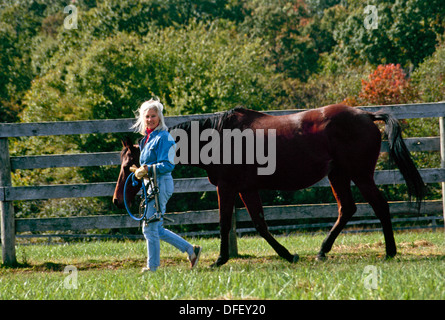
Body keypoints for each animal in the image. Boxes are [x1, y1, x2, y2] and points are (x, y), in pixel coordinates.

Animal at [112, 104, 424, 266]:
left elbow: (225, 222)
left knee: (379, 205)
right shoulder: (247, 189)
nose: (117, 200)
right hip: (338, 175)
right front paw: (288, 254)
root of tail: (366, 115)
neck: (218, 138)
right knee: (347, 209)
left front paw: (220, 259)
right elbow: (260, 224)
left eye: (129, 166)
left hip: (359, 174)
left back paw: (390, 252)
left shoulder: (227, 188)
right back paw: (322, 250)